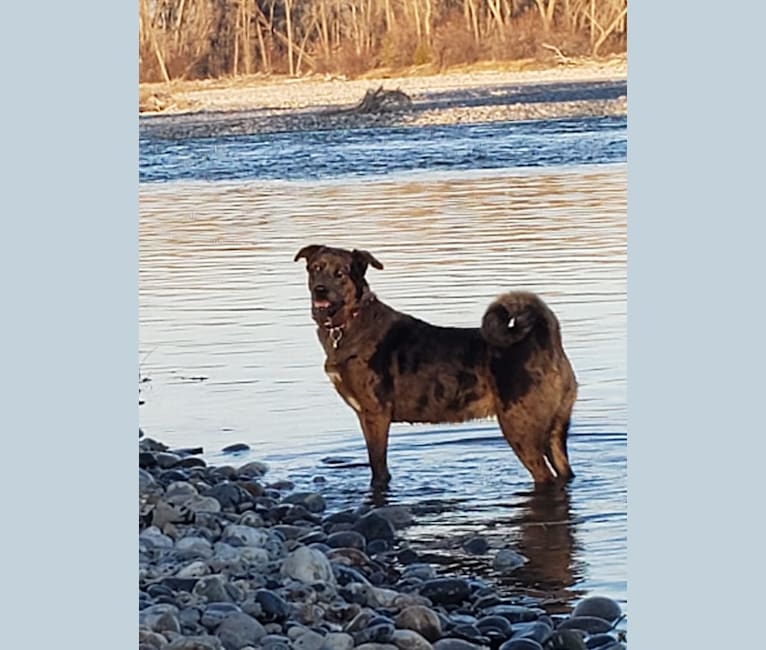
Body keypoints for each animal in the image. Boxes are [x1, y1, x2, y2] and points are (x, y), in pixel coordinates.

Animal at [294, 243, 576, 486]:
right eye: (315, 268)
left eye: (340, 274)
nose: (320, 289)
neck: (351, 321)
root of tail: (546, 339)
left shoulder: (375, 415)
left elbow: (378, 466)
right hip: (555, 427)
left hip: (519, 427)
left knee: (545, 476)